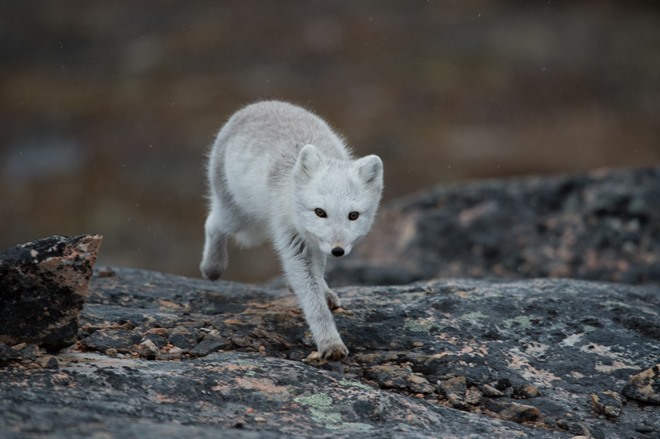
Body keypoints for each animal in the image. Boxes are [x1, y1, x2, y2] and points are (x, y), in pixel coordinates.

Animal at [202, 100, 386, 360]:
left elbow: (317, 275)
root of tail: (259, 104)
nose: (338, 251)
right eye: (320, 212)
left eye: (353, 215)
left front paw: (323, 292)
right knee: (213, 222)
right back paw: (212, 267)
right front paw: (330, 343)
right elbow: (313, 301)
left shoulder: (316, 243)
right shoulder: (293, 239)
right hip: (239, 218)